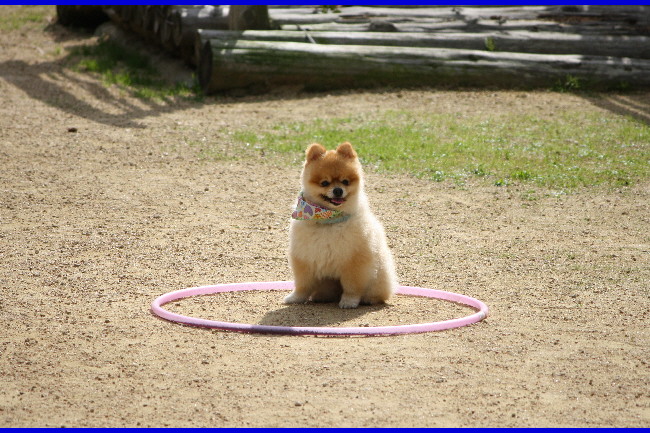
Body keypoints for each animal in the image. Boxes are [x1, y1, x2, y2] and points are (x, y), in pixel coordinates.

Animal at [283, 142, 398, 309]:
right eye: (324, 183)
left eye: (345, 181)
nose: (338, 190)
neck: (328, 220)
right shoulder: (305, 258)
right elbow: (302, 285)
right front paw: (295, 298)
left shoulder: (354, 261)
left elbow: (352, 286)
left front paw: (349, 301)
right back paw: (321, 297)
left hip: (378, 276)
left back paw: (369, 299)